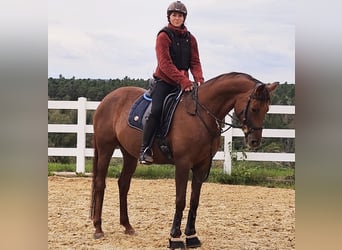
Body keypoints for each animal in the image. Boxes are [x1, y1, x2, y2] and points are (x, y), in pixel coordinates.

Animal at [90, 72, 278, 248]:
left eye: (267, 109)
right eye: (254, 108)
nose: (254, 141)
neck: (200, 115)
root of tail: (107, 99)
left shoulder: (202, 166)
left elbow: (194, 201)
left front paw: (191, 235)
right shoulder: (183, 164)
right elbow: (180, 200)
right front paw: (175, 237)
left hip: (129, 154)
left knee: (123, 184)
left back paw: (127, 226)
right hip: (106, 148)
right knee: (100, 183)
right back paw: (98, 228)